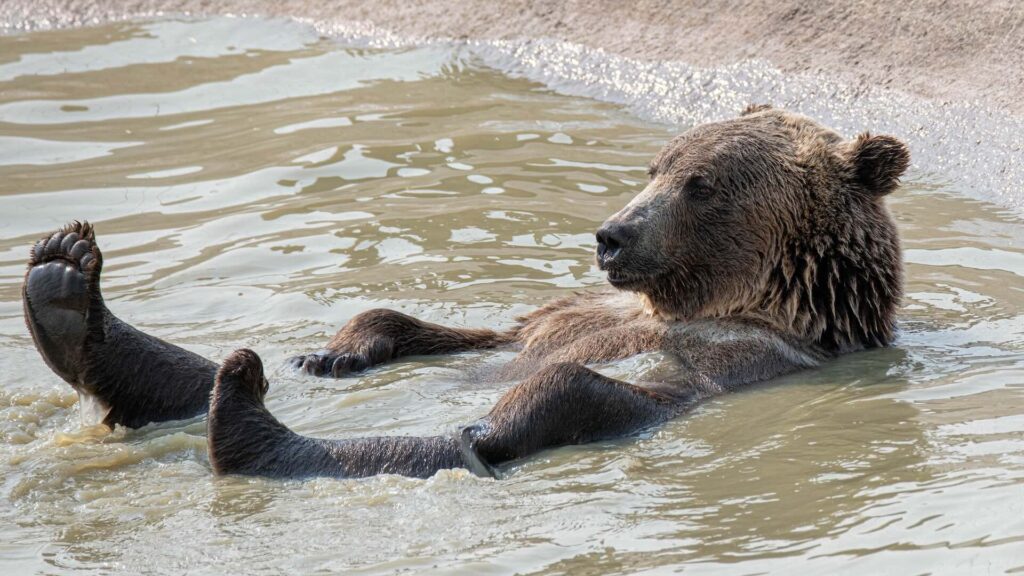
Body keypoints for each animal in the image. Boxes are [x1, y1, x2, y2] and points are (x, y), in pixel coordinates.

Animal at [19, 105, 909, 477]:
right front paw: (337, 353)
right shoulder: (564, 311)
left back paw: (247, 423)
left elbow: (598, 381)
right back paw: (64, 284)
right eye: (655, 165)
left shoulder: (740, 359)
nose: (612, 234)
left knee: (514, 416)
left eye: (701, 184)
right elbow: (448, 327)